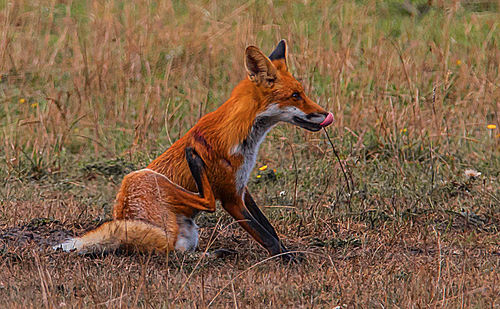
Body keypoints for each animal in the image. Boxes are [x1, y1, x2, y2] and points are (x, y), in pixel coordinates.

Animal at [54, 39, 334, 258]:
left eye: (303, 93)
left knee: (177, 251)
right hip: (143, 177)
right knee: (203, 206)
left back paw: (215, 253)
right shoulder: (231, 198)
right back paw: (194, 160)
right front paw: (287, 258)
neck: (243, 135)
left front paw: (288, 253)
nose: (325, 114)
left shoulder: (241, 188)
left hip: (188, 235)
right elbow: (264, 235)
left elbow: (268, 227)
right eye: (295, 96)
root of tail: (123, 220)